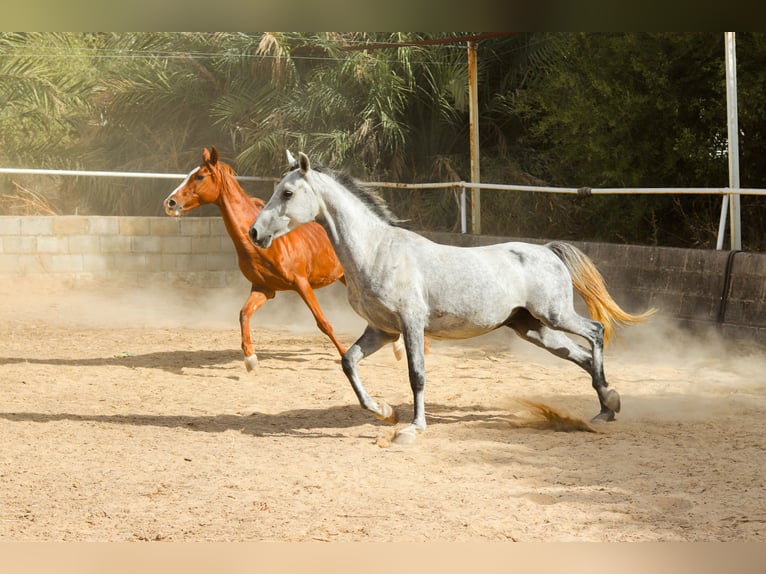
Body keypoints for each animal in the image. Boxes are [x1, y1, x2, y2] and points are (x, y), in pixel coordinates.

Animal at [163, 147, 349, 371]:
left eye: (199, 176)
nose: (170, 202)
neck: (267, 243)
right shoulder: (264, 288)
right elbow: (244, 314)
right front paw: (250, 359)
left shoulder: (302, 283)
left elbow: (323, 322)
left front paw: (345, 354)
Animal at [249, 151, 655, 444]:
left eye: (287, 193)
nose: (254, 233)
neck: (378, 251)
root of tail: (547, 250)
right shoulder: (382, 330)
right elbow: (348, 363)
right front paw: (383, 411)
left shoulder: (411, 325)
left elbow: (417, 375)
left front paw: (412, 429)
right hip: (532, 329)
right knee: (582, 355)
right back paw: (606, 406)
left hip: (554, 315)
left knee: (595, 332)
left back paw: (607, 403)